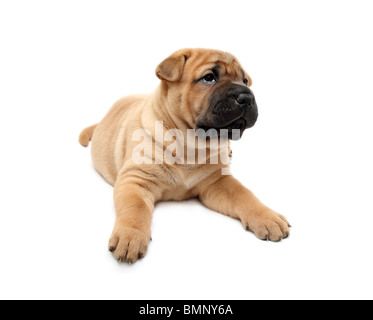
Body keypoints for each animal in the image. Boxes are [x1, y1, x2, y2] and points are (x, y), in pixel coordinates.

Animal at [78, 47, 290, 262]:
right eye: (209, 77)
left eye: (245, 80)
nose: (247, 97)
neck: (189, 145)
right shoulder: (135, 180)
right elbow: (135, 208)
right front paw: (130, 236)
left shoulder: (218, 181)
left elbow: (244, 194)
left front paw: (267, 217)